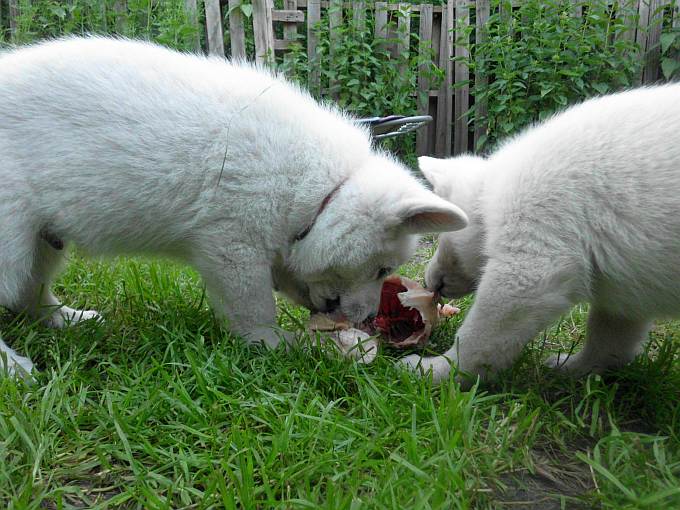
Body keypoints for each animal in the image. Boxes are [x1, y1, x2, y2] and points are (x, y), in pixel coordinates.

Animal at [0, 37, 468, 376]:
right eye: (383, 268)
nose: (368, 318)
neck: (318, 188)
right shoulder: (231, 245)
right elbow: (253, 307)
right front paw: (274, 345)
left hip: (42, 239)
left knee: (28, 293)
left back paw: (67, 318)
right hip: (11, 236)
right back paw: (15, 368)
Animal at [398, 85, 680, 384]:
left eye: (443, 235)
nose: (430, 281)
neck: (494, 190)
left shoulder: (541, 213)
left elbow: (512, 299)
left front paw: (431, 369)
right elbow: (615, 323)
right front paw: (572, 367)